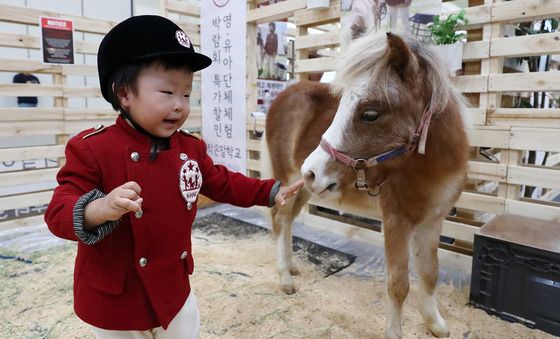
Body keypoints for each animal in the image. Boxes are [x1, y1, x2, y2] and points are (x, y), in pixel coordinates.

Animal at [264, 32, 470, 339]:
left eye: (370, 114)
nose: (311, 170)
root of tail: (284, 94)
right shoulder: (397, 222)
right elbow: (398, 284)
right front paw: (395, 333)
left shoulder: (433, 220)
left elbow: (430, 272)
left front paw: (435, 323)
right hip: (290, 178)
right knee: (279, 218)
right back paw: (285, 278)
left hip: (302, 188)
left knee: (288, 220)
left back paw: (291, 267)